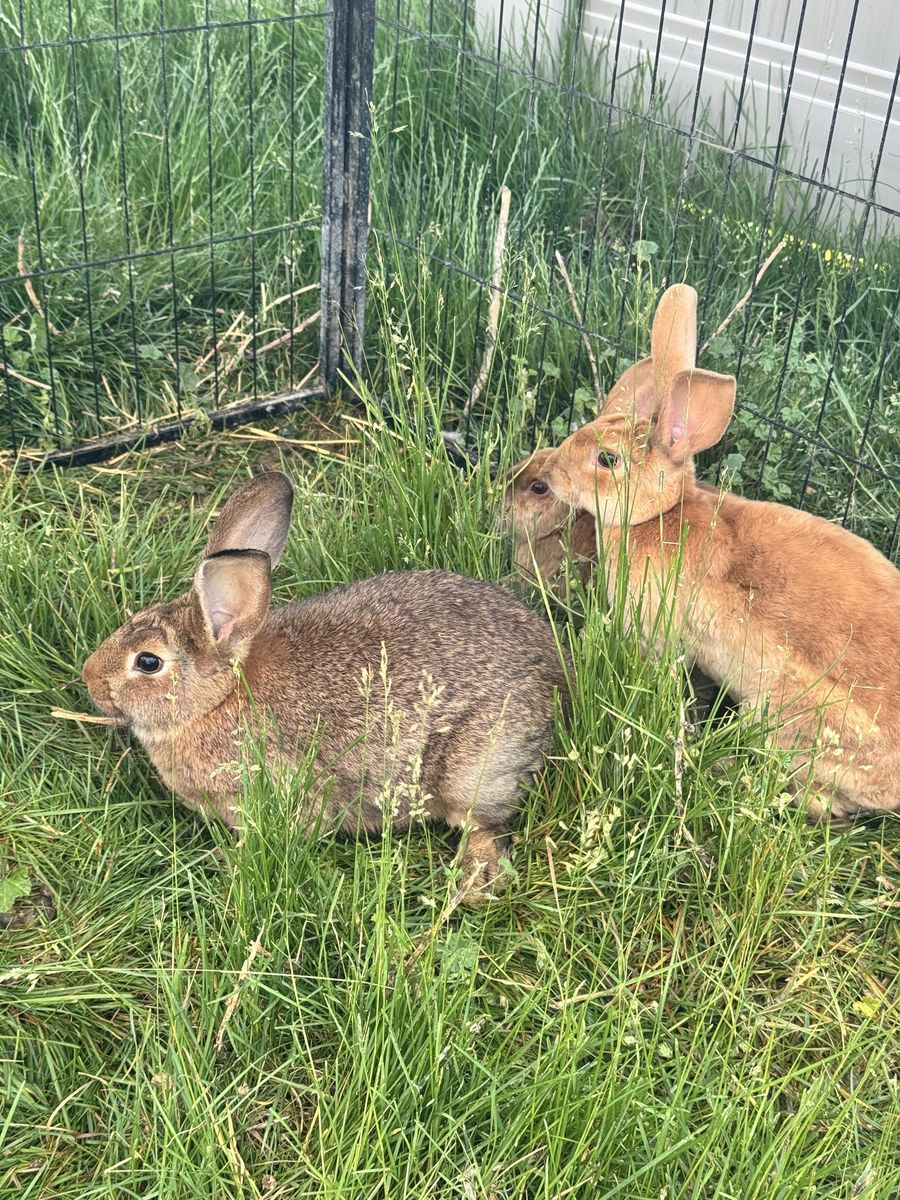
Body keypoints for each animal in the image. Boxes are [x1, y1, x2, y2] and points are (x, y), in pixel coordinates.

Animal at [81, 472, 570, 901]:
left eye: (148, 662)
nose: (90, 679)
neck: (217, 701)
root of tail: (556, 673)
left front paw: (228, 859)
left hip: (472, 767)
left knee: (485, 824)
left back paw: (473, 882)